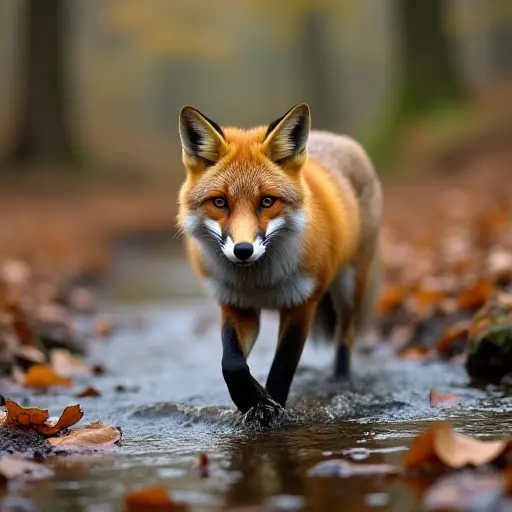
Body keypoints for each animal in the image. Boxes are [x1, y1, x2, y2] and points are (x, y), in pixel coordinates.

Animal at [178, 102, 382, 426]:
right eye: (220, 202)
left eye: (267, 201)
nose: (243, 250)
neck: (260, 283)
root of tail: (336, 137)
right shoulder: (236, 305)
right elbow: (232, 364)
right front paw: (251, 401)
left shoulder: (301, 304)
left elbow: (283, 366)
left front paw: (272, 412)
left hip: (350, 289)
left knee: (345, 339)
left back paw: (340, 381)